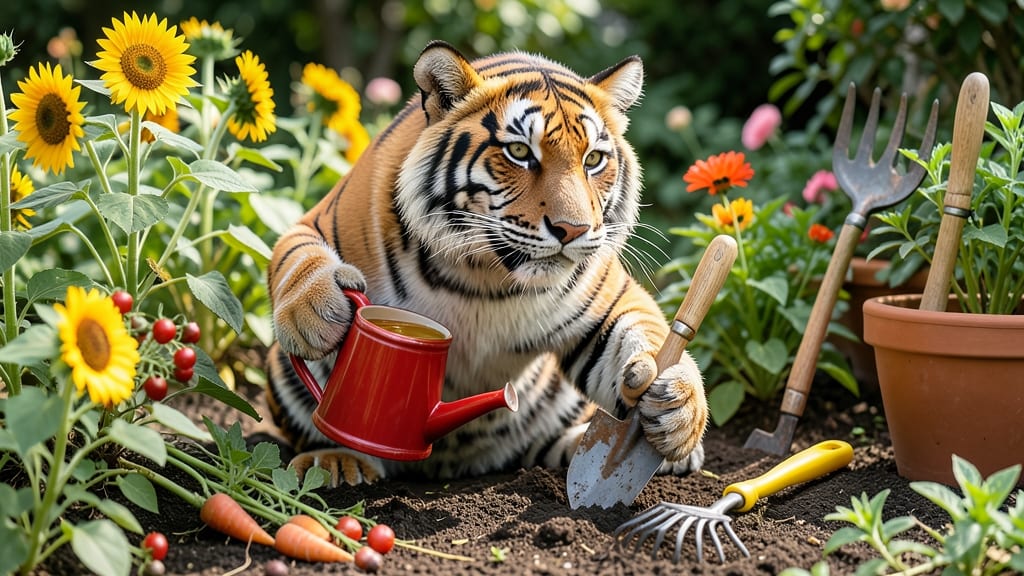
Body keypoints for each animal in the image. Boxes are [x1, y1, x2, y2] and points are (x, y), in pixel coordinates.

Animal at [265, 40, 708, 486]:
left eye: (594, 159)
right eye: (519, 152)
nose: (573, 229)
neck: (486, 274)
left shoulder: (606, 298)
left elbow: (646, 331)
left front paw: (679, 403)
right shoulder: (316, 222)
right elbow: (298, 257)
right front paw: (316, 313)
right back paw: (335, 461)